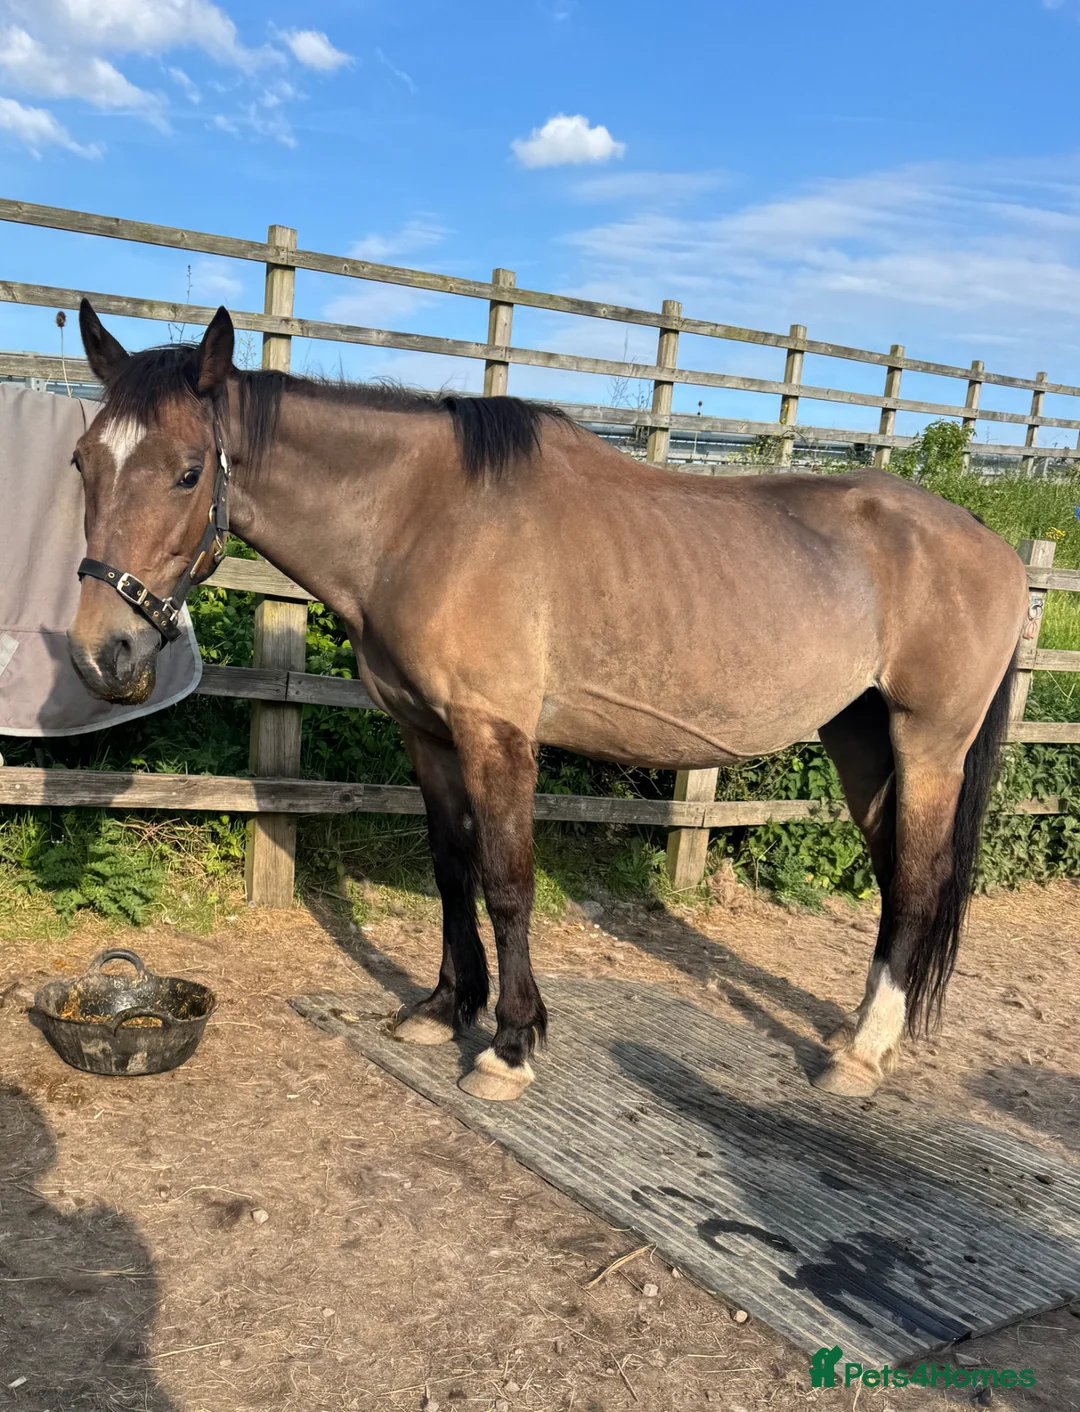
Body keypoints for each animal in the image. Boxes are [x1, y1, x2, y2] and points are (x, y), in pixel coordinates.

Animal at [67, 300, 1028, 1102]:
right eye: (82, 462)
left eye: (189, 471)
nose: (101, 652)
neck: (424, 520)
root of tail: (998, 547)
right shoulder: (428, 735)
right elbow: (452, 868)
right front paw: (443, 1008)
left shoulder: (497, 735)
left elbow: (506, 882)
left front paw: (510, 1044)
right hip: (860, 737)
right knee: (896, 876)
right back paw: (856, 1033)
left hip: (928, 743)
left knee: (919, 882)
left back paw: (861, 1056)